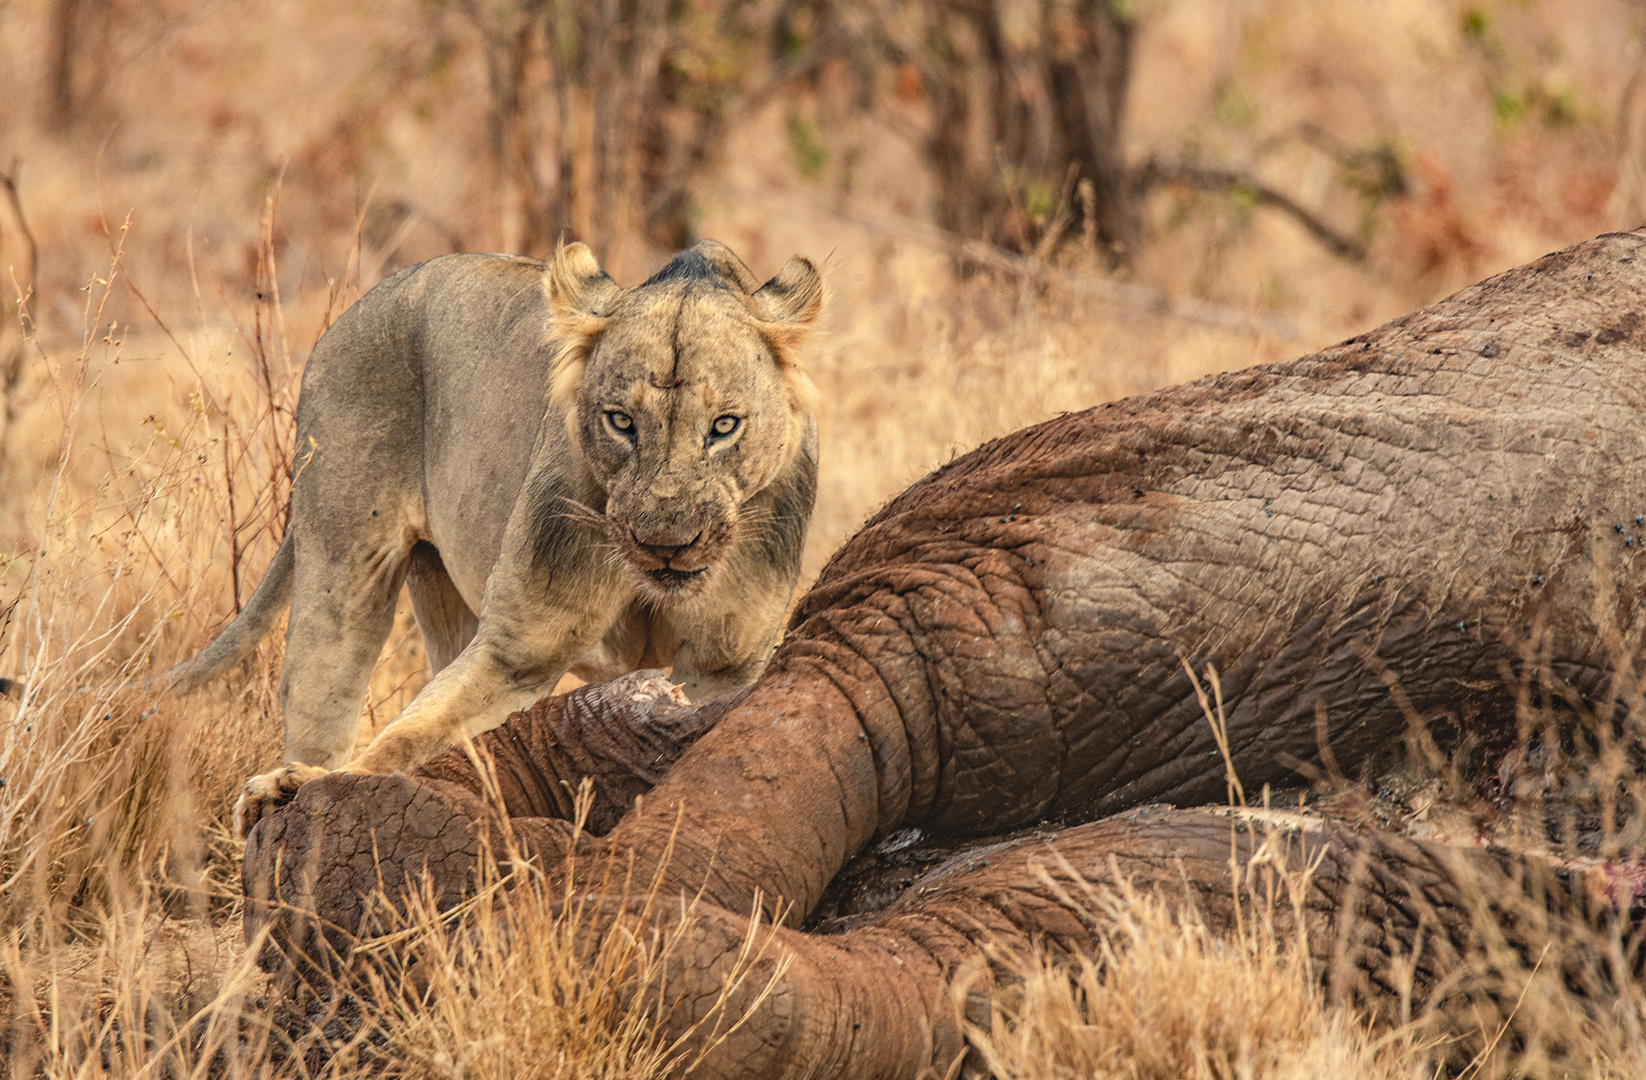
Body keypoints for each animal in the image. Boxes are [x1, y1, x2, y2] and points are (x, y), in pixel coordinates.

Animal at [175, 242, 823, 836]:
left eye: (724, 427)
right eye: (621, 421)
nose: (665, 542)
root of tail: (358, 307)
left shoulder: (725, 664)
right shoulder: (519, 652)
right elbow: (411, 735)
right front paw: (295, 791)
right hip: (344, 568)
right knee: (323, 684)